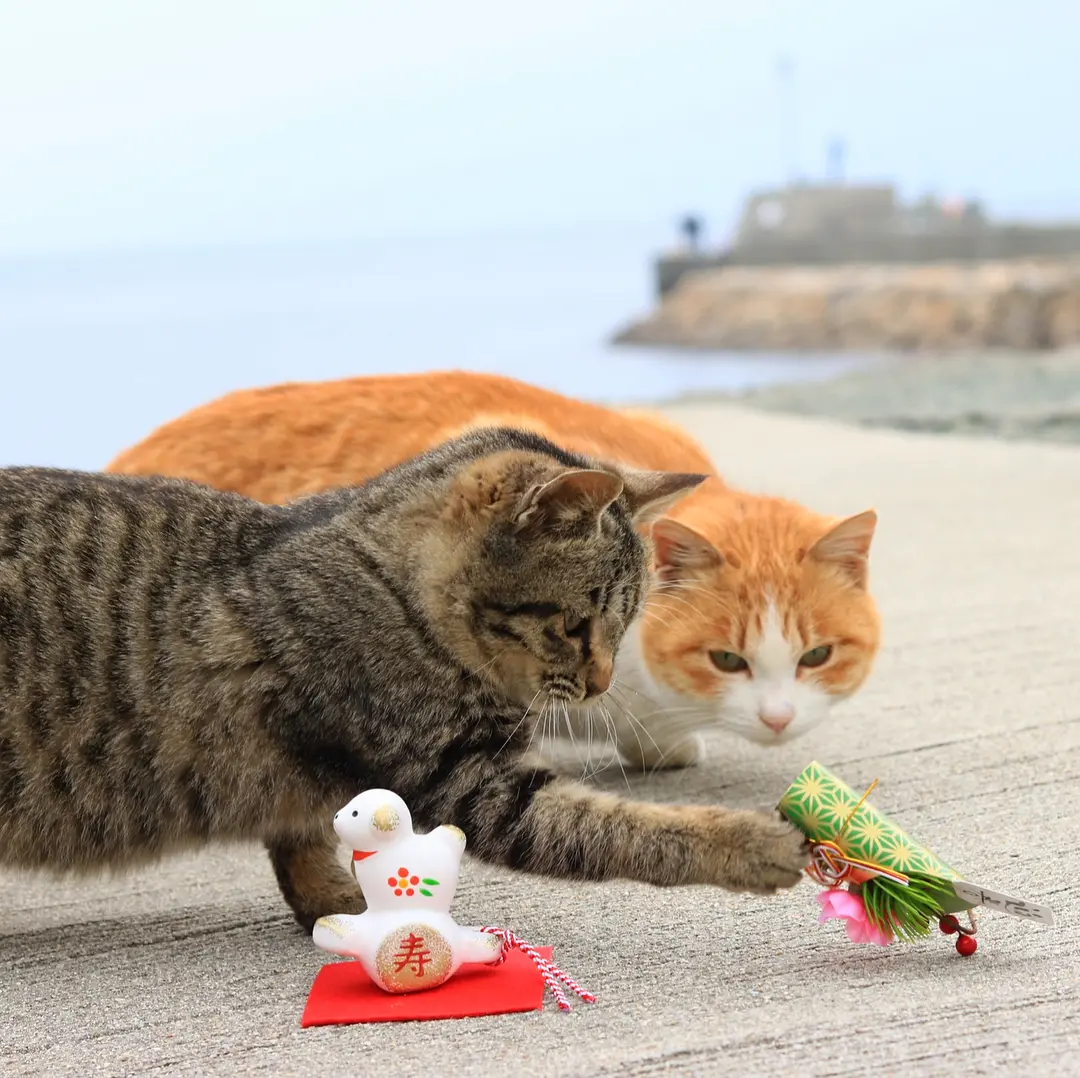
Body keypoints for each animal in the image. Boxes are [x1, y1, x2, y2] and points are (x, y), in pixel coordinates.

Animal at [0, 425, 812, 933]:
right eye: (577, 625)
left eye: (627, 623)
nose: (602, 684)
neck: (392, 590)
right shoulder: (474, 783)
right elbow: (626, 828)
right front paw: (752, 842)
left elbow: (301, 843)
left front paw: (334, 905)